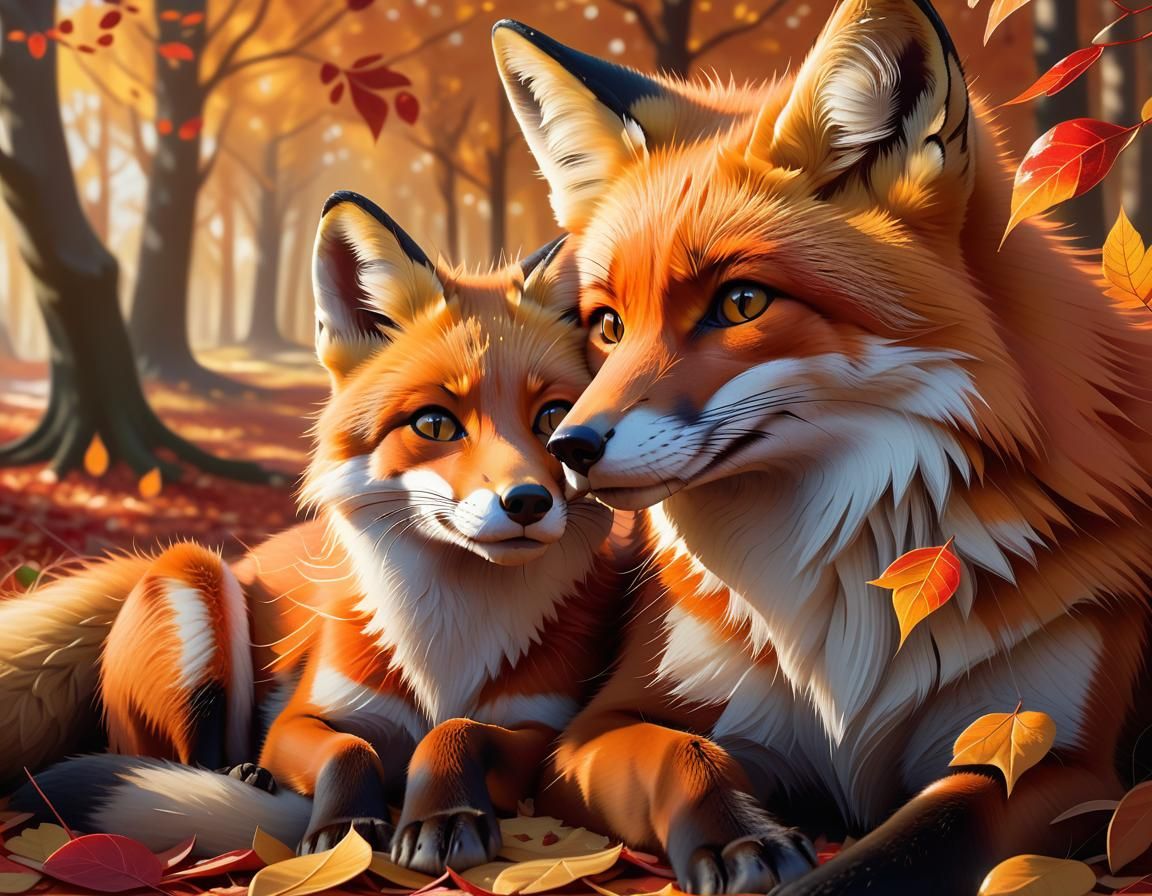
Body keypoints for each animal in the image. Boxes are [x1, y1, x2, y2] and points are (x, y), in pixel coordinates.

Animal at [11, 190, 627, 870]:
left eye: (553, 417)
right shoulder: (303, 716)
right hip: (195, 583)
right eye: (435, 424)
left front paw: (443, 816)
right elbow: (348, 749)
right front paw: (345, 826)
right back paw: (244, 778)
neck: (447, 648)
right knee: (178, 757)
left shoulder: (541, 730)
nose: (527, 502)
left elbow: (459, 730)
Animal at [491, 2, 1152, 894]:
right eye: (608, 324)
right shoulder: (603, 726)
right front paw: (741, 839)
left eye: (741, 302)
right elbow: (686, 758)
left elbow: (906, 846)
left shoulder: (1052, 762)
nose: (569, 448)